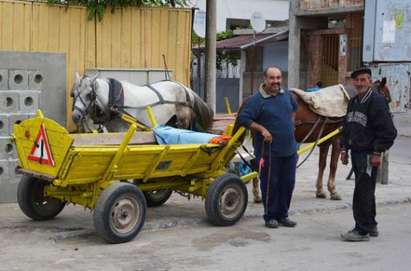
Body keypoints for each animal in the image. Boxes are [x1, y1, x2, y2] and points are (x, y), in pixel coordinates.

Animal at [71, 73, 214, 134]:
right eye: (73, 94)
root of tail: (184, 88)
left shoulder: (125, 130)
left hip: (182, 121)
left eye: (89, 95)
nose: (75, 116)